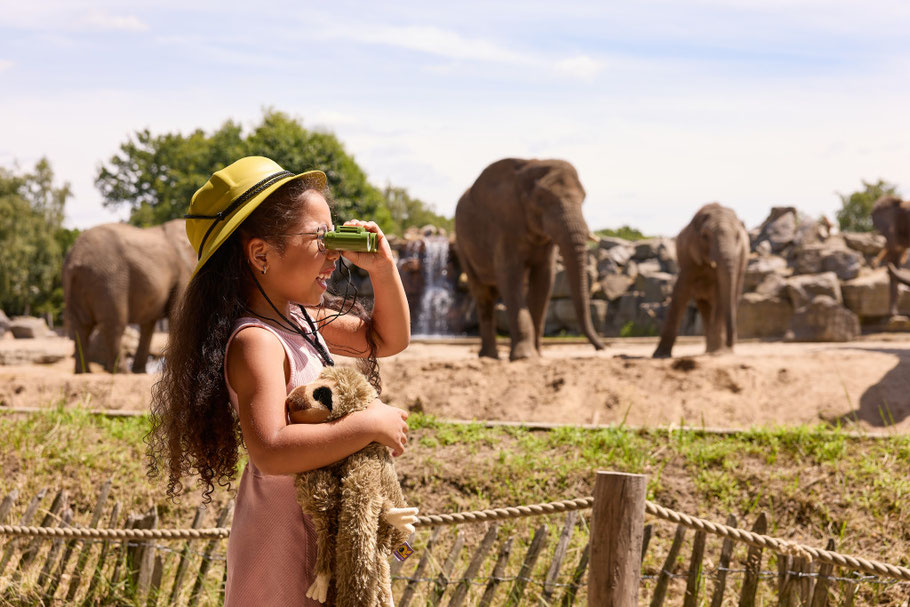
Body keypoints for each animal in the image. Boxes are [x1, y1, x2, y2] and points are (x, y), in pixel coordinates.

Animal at [62, 218, 196, 370]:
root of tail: (74, 259)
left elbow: (148, 324)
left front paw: (139, 370)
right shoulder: (183, 271)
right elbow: (177, 316)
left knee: (80, 327)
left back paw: (85, 372)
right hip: (109, 280)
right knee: (114, 325)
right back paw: (121, 371)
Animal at [454, 158, 604, 360]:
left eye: (584, 198)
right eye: (541, 199)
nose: (602, 348)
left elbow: (544, 280)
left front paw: (537, 356)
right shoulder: (504, 226)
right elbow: (510, 277)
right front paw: (524, 357)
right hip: (463, 244)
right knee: (482, 293)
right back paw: (489, 357)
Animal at [656, 202, 748, 358]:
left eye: (737, 237)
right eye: (705, 236)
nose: (730, 343)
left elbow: (720, 294)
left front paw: (718, 351)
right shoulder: (688, 256)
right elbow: (680, 291)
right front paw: (660, 355)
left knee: (730, 297)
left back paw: (717, 349)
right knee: (704, 305)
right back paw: (711, 348)